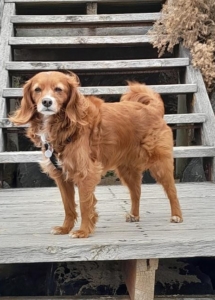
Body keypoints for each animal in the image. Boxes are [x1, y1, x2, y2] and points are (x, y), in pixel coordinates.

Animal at [9, 71, 182, 238]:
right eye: (37, 89)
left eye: (58, 89)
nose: (46, 102)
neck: (65, 125)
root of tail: (153, 109)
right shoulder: (61, 175)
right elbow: (68, 206)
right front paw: (65, 228)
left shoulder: (85, 173)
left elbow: (85, 205)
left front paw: (83, 231)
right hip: (126, 170)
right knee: (136, 192)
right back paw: (134, 214)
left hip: (160, 164)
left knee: (172, 190)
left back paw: (177, 216)